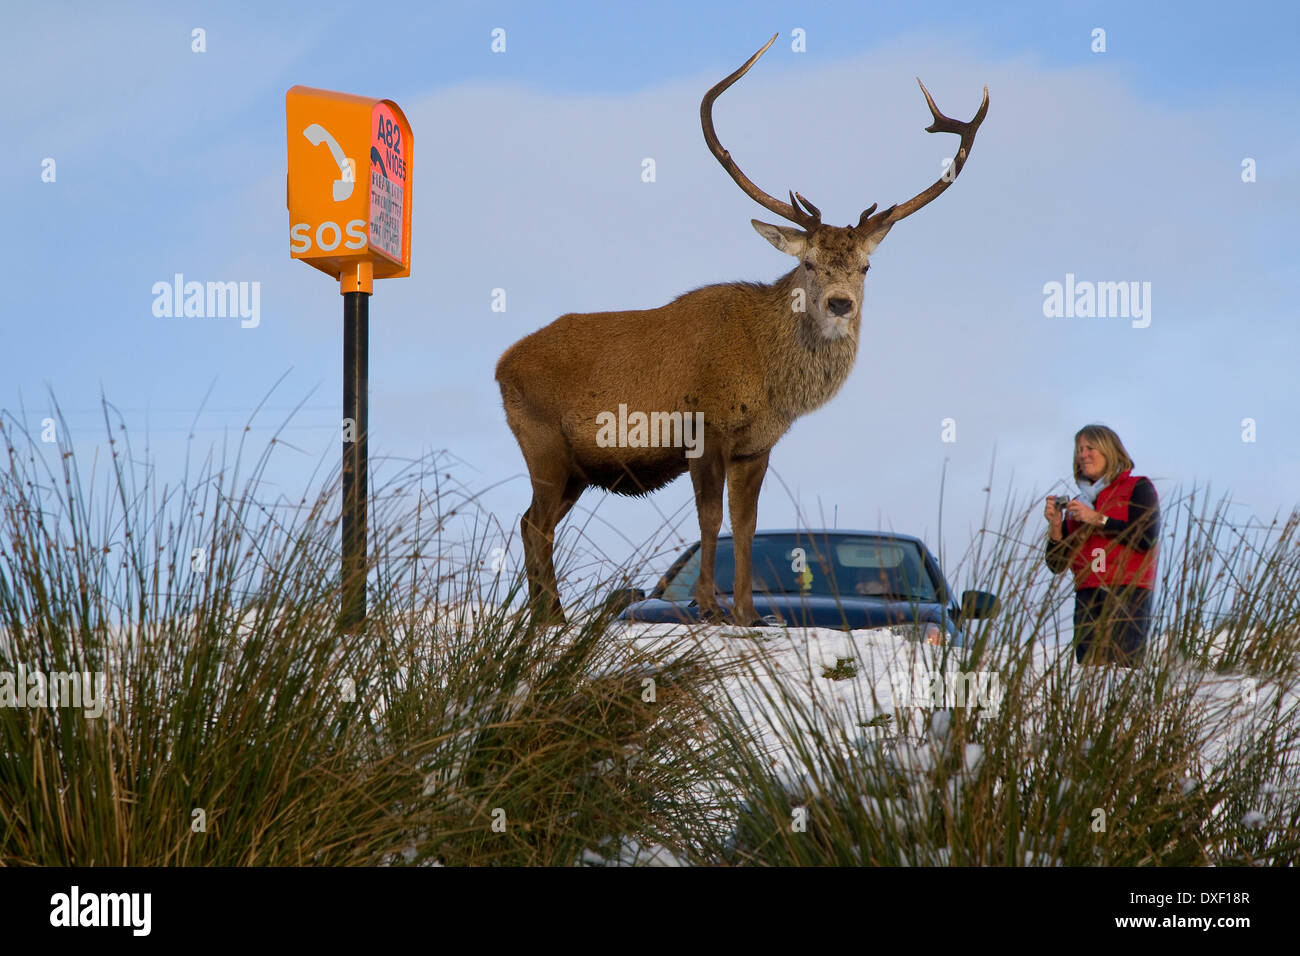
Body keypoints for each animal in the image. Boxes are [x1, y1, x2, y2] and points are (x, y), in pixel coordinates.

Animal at [495, 34, 988, 627]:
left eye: (865, 267)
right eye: (809, 263)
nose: (840, 303)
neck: (768, 375)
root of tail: (500, 365)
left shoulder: (758, 445)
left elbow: (746, 524)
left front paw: (750, 614)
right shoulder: (704, 425)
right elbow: (710, 519)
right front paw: (708, 605)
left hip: (576, 469)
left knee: (531, 522)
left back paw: (549, 618)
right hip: (542, 442)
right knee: (535, 524)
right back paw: (553, 620)